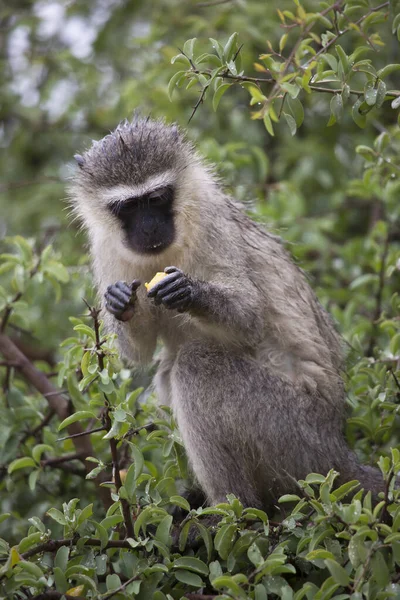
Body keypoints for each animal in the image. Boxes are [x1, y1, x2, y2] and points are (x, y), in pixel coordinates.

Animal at [69, 116, 384, 506]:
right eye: (127, 207)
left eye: (156, 198)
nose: (149, 228)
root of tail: (338, 450)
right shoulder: (106, 248)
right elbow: (139, 353)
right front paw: (120, 303)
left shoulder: (212, 223)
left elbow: (249, 317)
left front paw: (191, 292)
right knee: (167, 369)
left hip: (293, 432)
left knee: (195, 365)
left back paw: (232, 509)